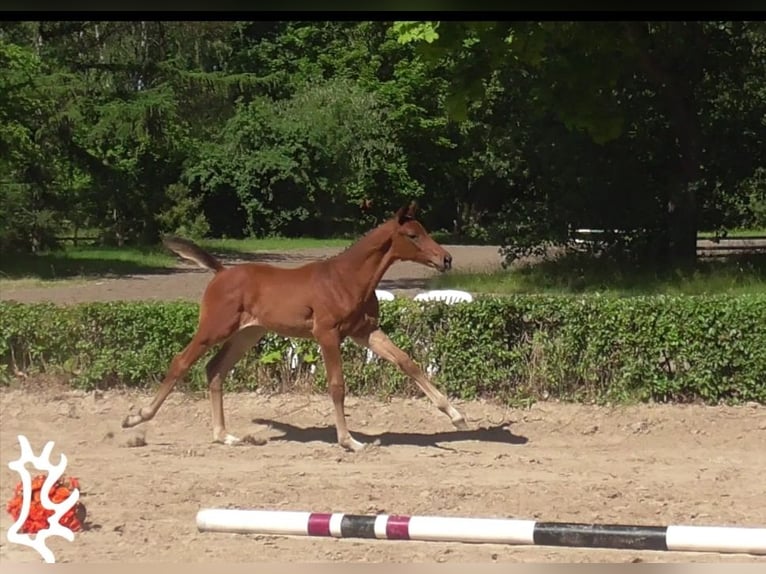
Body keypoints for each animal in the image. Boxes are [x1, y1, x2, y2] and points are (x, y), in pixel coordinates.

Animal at [121, 205, 468, 452]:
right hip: (214, 329)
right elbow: (337, 386)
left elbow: (408, 362)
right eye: (412, 235)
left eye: (424, 231)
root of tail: (220, 273)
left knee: (214, 369)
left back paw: (224, 436)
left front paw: (457, 416)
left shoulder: (364, 332)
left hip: (247, 334)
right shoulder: (327, 334)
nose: (446, 259)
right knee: (181, 362)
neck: (347, 278)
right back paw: (136, 417)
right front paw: (349, 440)